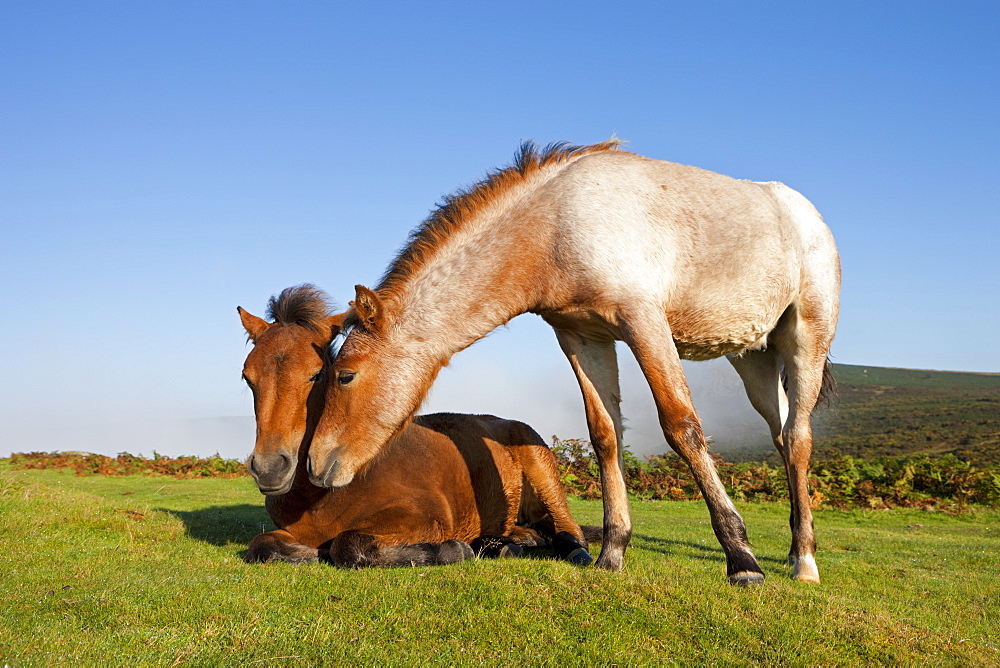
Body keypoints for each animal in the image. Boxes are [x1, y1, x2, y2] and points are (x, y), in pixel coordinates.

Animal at [237, 284, 588, 568]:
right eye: (247, 377)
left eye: (318, 374)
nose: (269, 468)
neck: (317, 496)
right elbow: (261, 545)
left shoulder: (424, 517)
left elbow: (348, 544)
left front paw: (452, 550)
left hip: (540, 467)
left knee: (567, 528)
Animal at [308, 142, 840, 584]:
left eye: (345, 375)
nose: (315, 464)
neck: (556, 224)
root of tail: (810, 216)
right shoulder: (583, 337)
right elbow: (605, 435)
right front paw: (612, 553)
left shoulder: (644, 323)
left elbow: (681, 427)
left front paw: (741, 559)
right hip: (753, 358)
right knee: (782, 436)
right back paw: (796, 547)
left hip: (806, 337)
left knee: (799, 438)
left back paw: (805, 563)